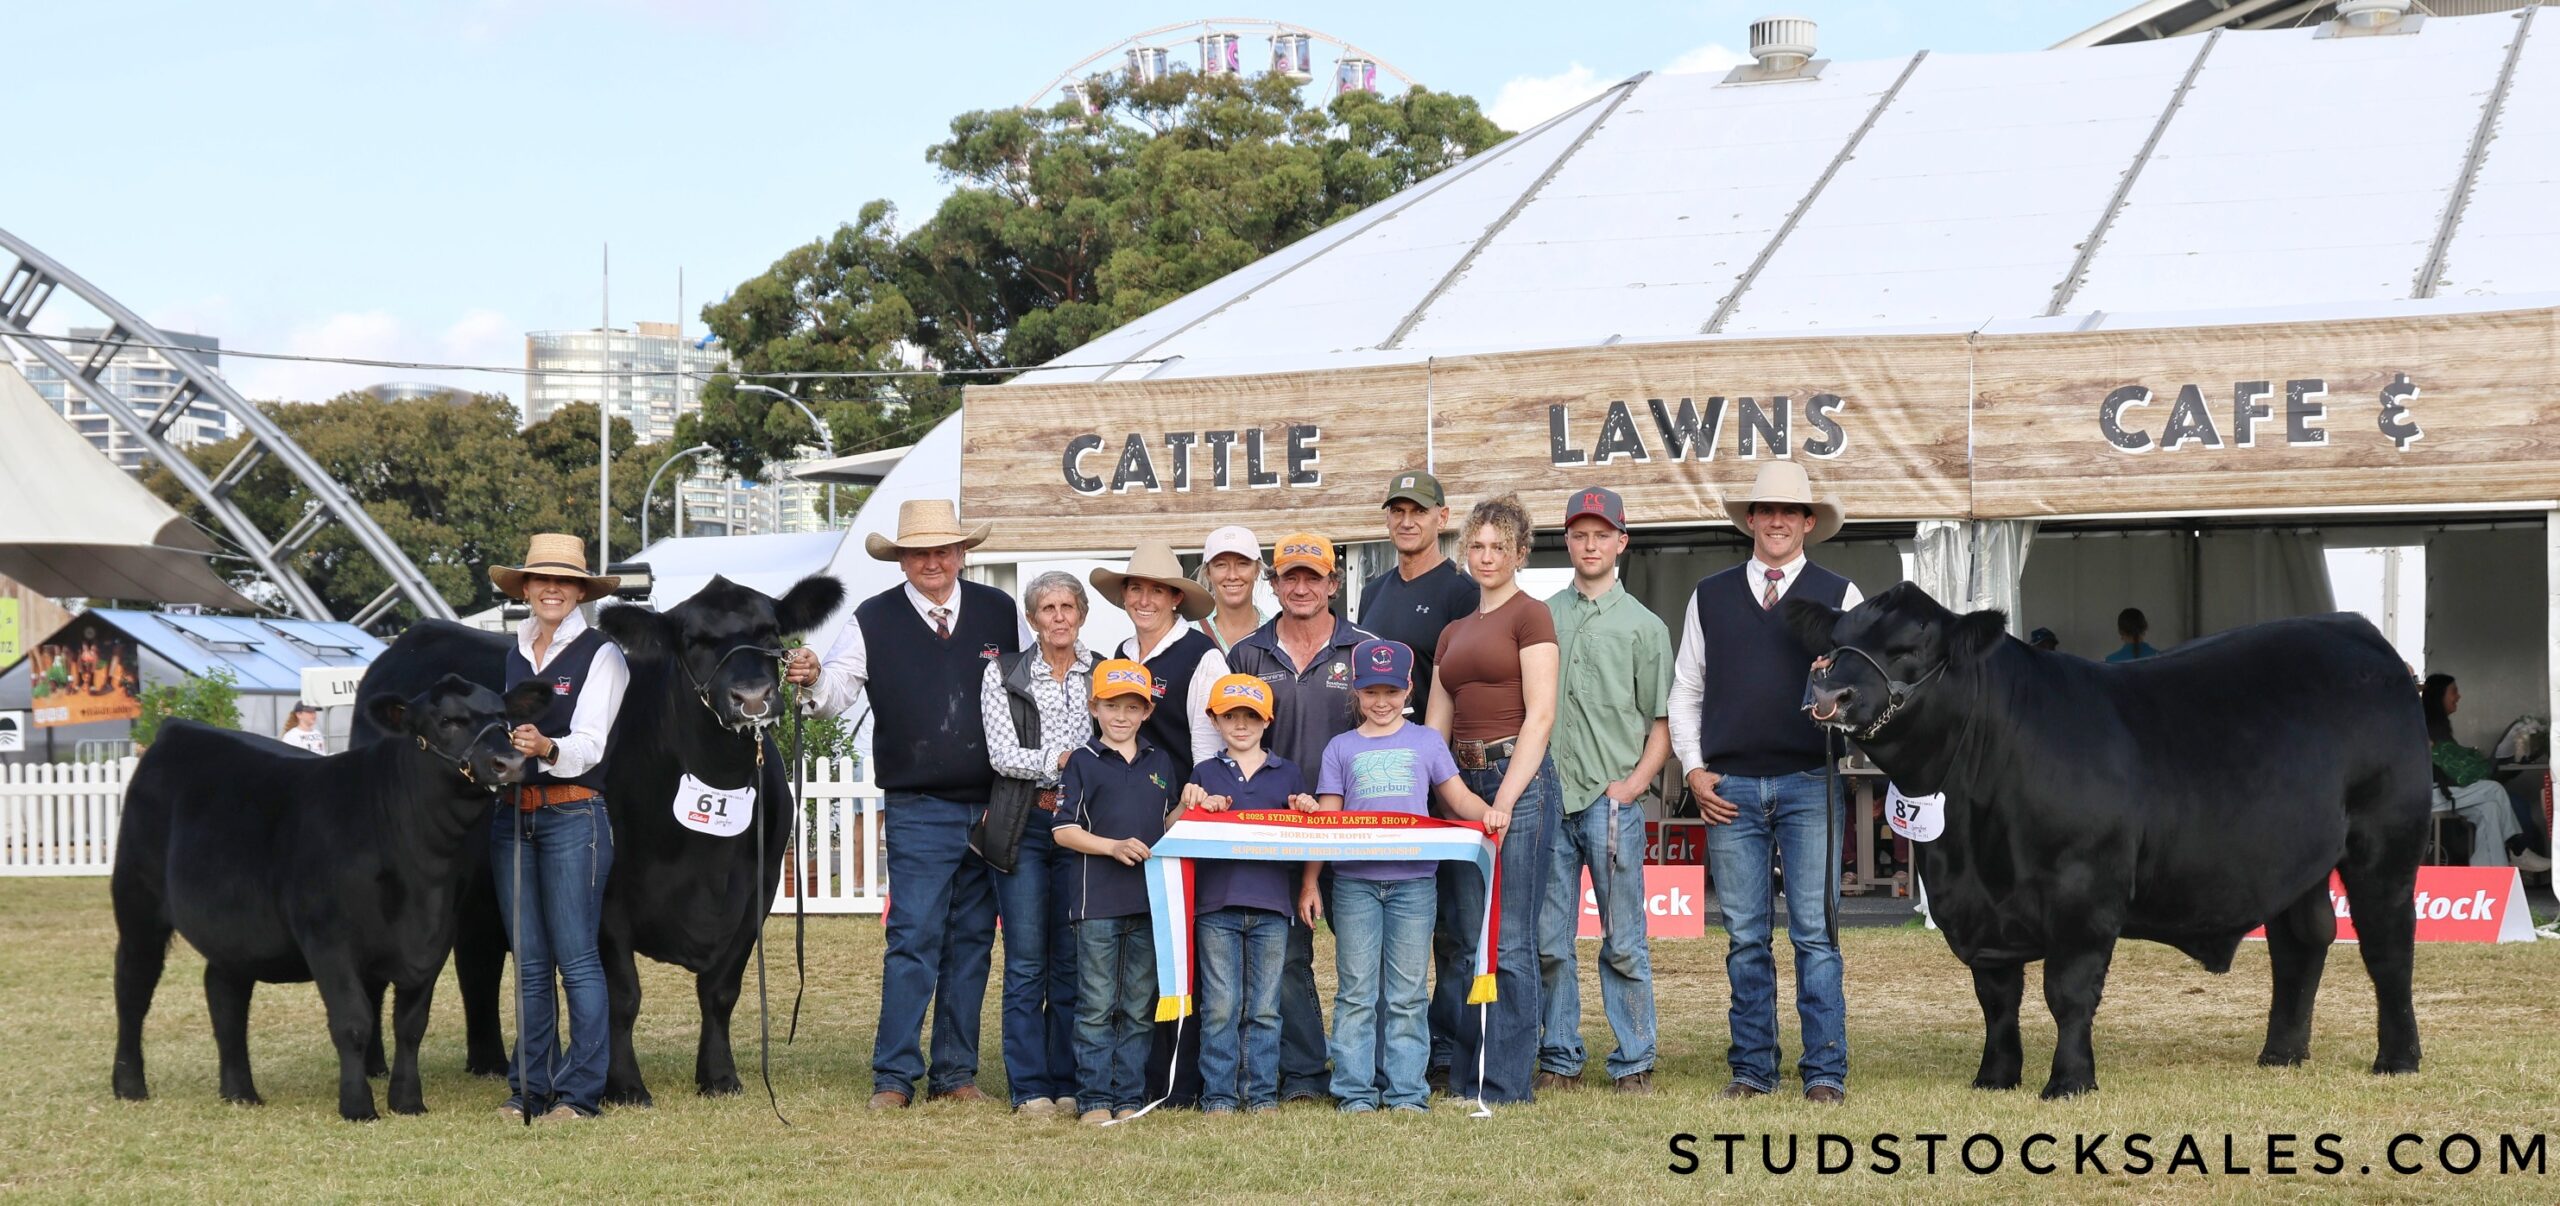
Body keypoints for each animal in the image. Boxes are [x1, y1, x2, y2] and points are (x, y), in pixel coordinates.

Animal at [111, 675, 549, 1120]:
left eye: (504, 718)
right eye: (446, 720)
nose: (510, 763)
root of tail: (176, 729)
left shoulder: (435, 939)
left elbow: (410, 1025)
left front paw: (408, 1101)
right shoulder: (327, 938)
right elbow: (353, 1021)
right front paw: (357, 1106)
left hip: (232, 927)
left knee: (224, 990)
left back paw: (239, 1091)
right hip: (137, 901)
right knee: (133, 986)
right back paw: (129, 1084)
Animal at [351, 574, 845, 1105]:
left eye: (770, 631)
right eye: (692, 640)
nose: (752, 698)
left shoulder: (758, 890)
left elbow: (720, 991)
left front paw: (718, 1076)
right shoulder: (605, 898)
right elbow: (621, 995)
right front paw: (623, 1084)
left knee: (477, 960)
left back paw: (489, 1061)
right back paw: (376, 1064)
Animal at [1785, 583, 2427, 1100]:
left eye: (1910, 647)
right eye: (1836, 641)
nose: (1831, 693)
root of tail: (2355, 631)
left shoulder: (2084, 892)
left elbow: (2068, 992)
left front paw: (2069, 1081)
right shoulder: (1977, 909)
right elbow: (1997, 997)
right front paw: (1995, 1078)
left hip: (2385, 843)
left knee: (2386, 946)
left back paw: (2397, 1059)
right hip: (2298, 861)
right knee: (2300, 941)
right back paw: (2282, 1054)